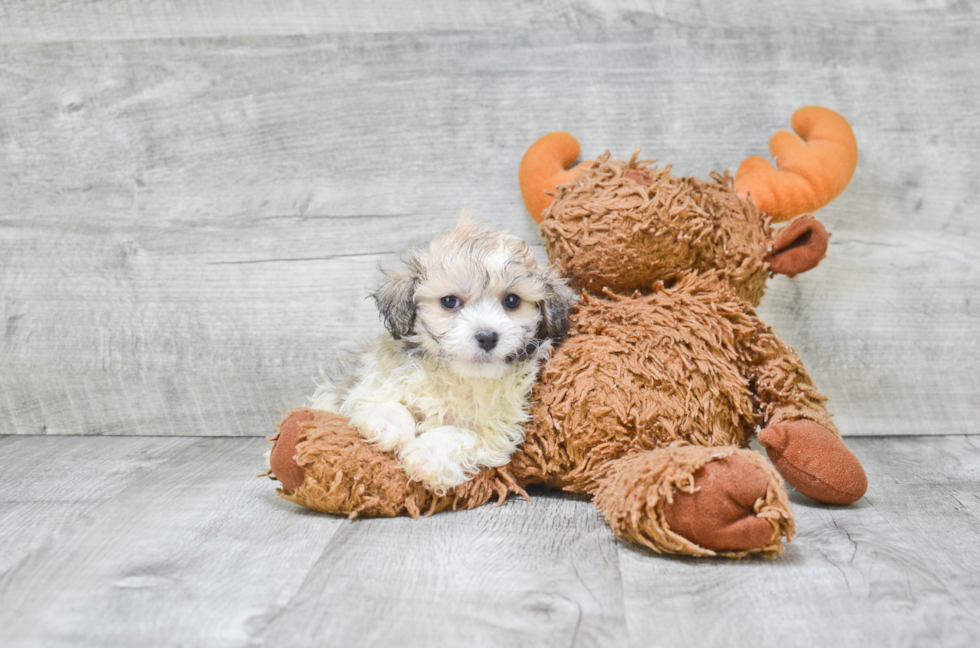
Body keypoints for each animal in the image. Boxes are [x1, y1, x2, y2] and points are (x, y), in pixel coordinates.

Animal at [310, 215, 580, 494]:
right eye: (450, 301)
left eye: (512, 301)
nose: (487, 337)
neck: (459, 377)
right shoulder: (370, 383)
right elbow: (380, 401)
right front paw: (391, 427)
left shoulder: (499, 429)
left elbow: (458, 434)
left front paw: (426, 453)